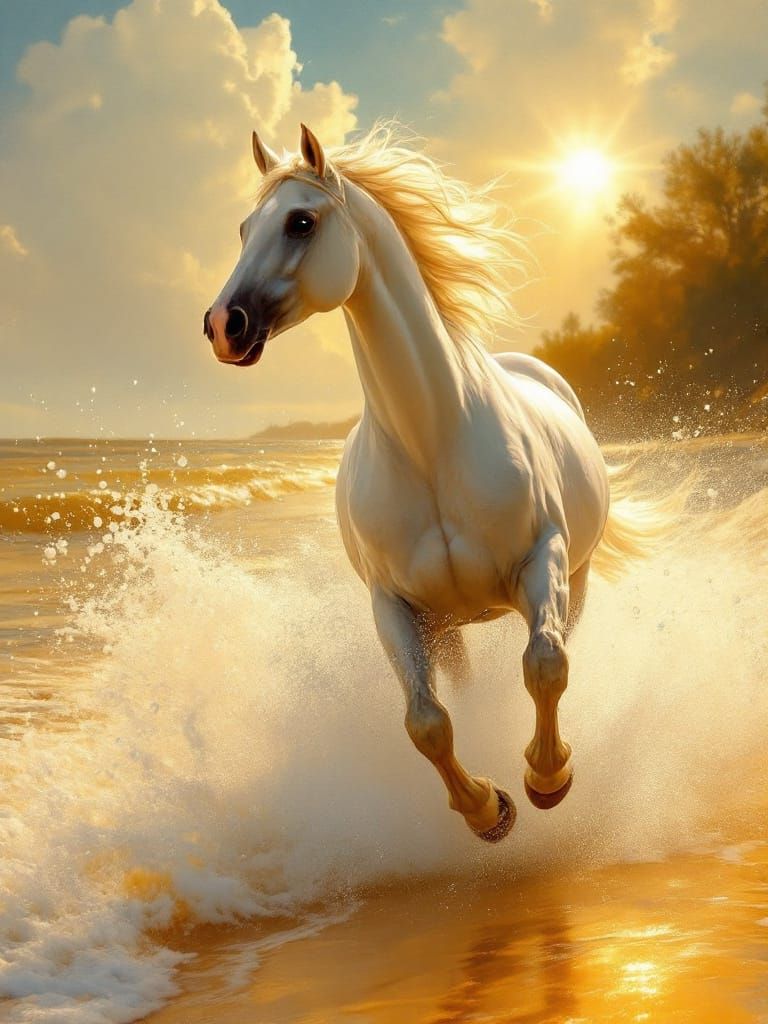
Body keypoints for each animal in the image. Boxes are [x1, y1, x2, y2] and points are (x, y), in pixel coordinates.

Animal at [203, 123, 659, 843]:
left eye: (301, 221)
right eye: (245, 228)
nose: (224, 325)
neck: (430, 443)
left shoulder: (543, 560)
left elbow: (545, 665)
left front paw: (546, 779)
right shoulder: (395, 607)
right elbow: (426, 723)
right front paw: (488, 810)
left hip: (575, 578)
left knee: (555, 650)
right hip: (449, 629)